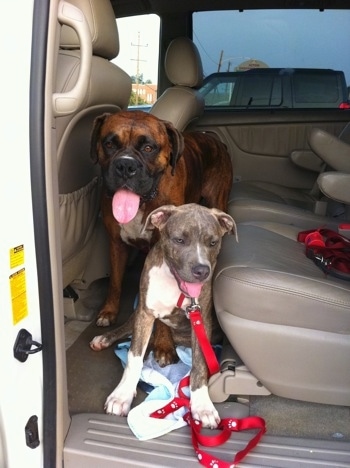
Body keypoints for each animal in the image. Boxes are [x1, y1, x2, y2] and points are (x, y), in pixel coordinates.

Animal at [90, 110, 232, 366]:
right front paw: (108, 312)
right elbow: (115, 281)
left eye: (148, 148)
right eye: (109, 144)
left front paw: (163, 345)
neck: (142, 203)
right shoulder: (116, 243)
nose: (125, 165)